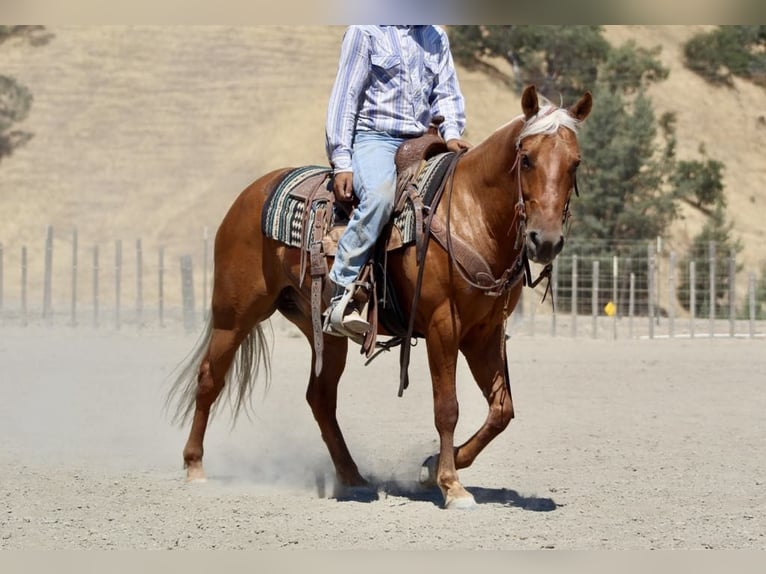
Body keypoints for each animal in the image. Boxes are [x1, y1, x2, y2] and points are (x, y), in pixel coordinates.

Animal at [167, 84, 592, 509]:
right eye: (527, 159)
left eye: (575, 163)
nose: (545, 240)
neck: (471, 214)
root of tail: (251, 194)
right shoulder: (443, 326)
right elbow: (447, 408)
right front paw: (451, 485)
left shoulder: (485, 333)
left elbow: (502, 411)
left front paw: (431, 467)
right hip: (234, 312)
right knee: (210, 378)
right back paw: (194, 465)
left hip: (323, 329)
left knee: (320, 397)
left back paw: (352, 476)